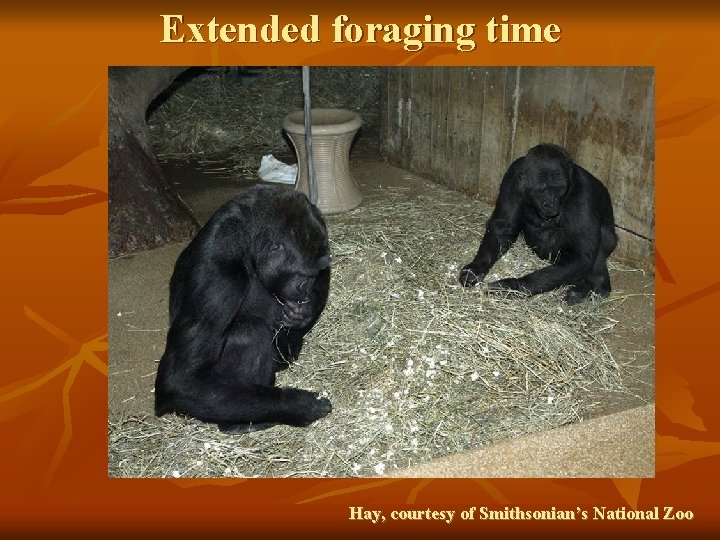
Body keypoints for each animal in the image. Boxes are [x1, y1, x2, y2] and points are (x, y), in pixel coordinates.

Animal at [156, 184, 334, 432]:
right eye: (303, 275)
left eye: (314, 273)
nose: (307, 288)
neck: (250, 243)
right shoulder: (216, 272)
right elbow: (180, 379)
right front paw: (300, 405)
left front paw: (304, 312)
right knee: (249, 333)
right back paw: (237, 424)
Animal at [458, 143, 616, 304]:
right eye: (541, 190)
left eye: (559, 188)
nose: (550, 203)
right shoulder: (513, 177)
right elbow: (503, 227)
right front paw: (476, 267)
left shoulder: (583, 194)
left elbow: (581, 256)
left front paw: (513, 286)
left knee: (603, 236)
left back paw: (596, 287)